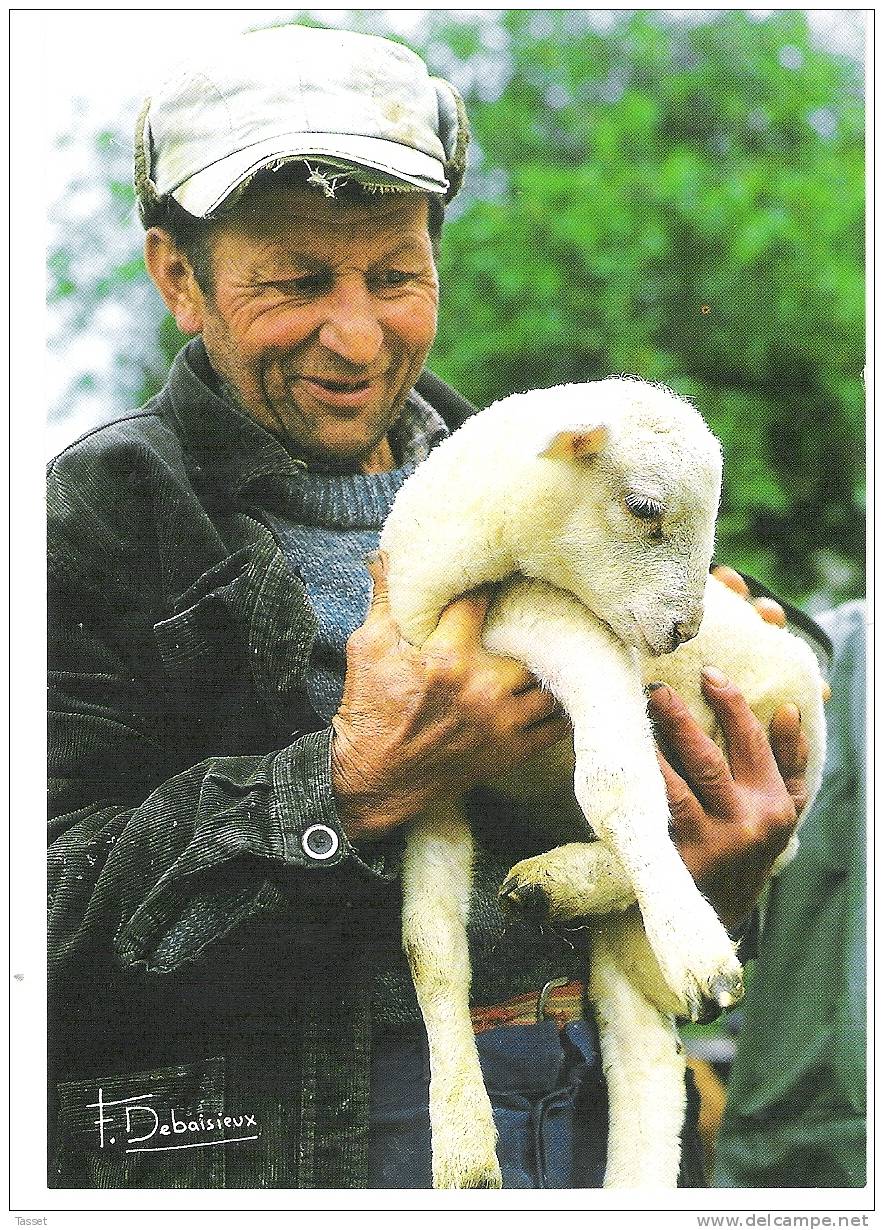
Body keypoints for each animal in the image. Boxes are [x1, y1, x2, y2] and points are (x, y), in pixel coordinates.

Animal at [381, 376, 831, 1190]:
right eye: (645, 508)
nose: (684, 632)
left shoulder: (574, 635)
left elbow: (617, 782)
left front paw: (702, 952)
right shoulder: (430, 765)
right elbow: (429, 939)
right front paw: (462, 1143)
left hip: (792, 741)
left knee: (745, 843)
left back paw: (573, 883)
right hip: (624, 951)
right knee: (647, 1059)